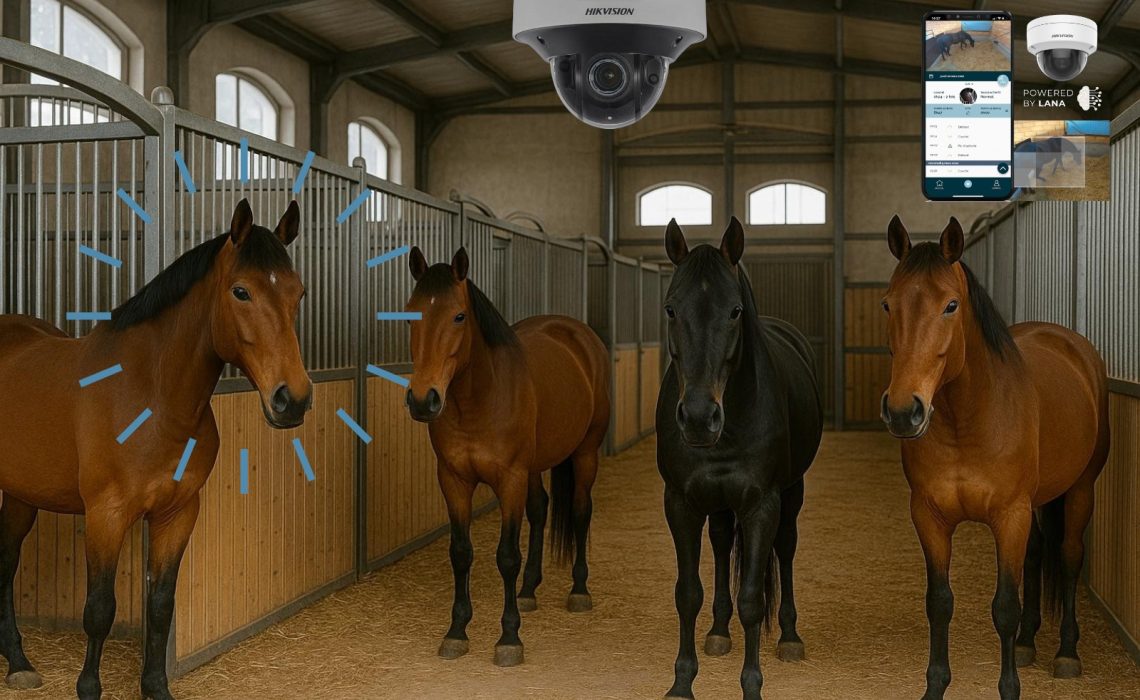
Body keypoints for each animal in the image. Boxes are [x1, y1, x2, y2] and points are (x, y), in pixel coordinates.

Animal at [0, 199, 311, 700]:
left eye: (298, 294)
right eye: (241, 292)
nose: (293, 399)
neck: (154, 397)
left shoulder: (177, 512)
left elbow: (161, 604)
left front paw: (155, 687)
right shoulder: (106, 516)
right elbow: (99, 609)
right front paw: (88, 688)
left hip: (21, 493)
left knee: (6, 562)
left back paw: (18, 662)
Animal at [404, 246, 610, 667]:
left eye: (459, 316)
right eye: (412, 312)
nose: (422, 399)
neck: (480, 399)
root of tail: (579, 334)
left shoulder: (509, 479)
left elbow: (506, 556)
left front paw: (509, 637)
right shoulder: (453, 480)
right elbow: (461, 552)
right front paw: (457, 631)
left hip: (585, 453)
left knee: (581, 511)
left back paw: (579, 590)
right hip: (534, 467)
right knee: (540, 509)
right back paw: (529, 590)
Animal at [656, 218, 823, 700]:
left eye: (734, 311)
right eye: (671, 309)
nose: (698, 417)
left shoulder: (762, 504)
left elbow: (752, 599)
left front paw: (752, 686)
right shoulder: (680, 503)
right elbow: (687, 593)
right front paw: (682, 682)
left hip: (792, 492)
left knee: (785, 548)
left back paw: (789, 637)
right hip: (717, 504)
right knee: (720, 542)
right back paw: (717, 631)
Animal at [881, 215, 1110, 700]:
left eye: (950, 305)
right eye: (888, 305)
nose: (903, 411)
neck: (967, 422)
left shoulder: (1009, 516)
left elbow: (1005, 605)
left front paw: (1010, 688)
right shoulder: (929, 517)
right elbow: (939, 603)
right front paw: (935, 686)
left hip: (1080, 489)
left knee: (1069, 555)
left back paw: (1067, 653)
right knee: (1037, 555)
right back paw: (1026, 644)